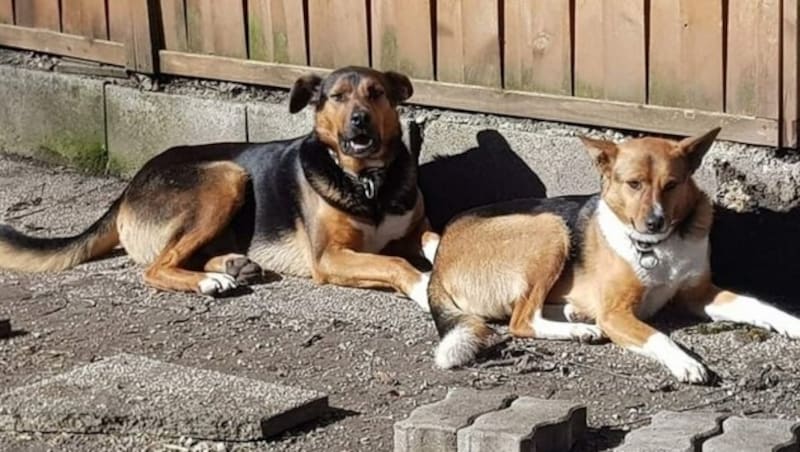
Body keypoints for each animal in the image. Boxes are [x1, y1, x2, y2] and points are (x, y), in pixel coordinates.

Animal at [0, 66, 432, 308]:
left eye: (376, 94)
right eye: (338, 97)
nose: (359, 119)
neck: (367, 180)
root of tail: (131, 186)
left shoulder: (411, 230)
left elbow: (430, 238)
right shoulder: (329, 257)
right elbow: (392, 262)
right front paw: (422, 285)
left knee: (184, 254)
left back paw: (233, 266)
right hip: (226, 176)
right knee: (158, 266)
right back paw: (211, 279)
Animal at [428, 128, 800, 384]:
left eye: (671, 185)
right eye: (633, 184)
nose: (654, 221)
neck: (657, 245)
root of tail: (441, 256)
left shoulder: (699, 294)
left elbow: (757, 305)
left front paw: (791, 323)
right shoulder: (616, 314)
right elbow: (659, 335)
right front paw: (686, 362)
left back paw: (575, 315)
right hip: (550, 228)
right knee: (521, 320)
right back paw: (578, 330)